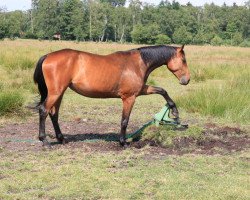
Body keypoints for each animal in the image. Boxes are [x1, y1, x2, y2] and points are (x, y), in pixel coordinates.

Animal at [33, 44, 189, 147]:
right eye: (183, 60)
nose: (187, 80)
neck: (137, 63)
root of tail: (48, 56)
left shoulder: (141, 90)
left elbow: (162, 90)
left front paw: (174, 111)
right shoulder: (129, 97)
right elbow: (124, 120)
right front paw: (123, 142)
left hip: (59, 93)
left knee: (54, 114)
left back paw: (62, 139)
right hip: (56, 92)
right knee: (44, 110)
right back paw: (45, 141)